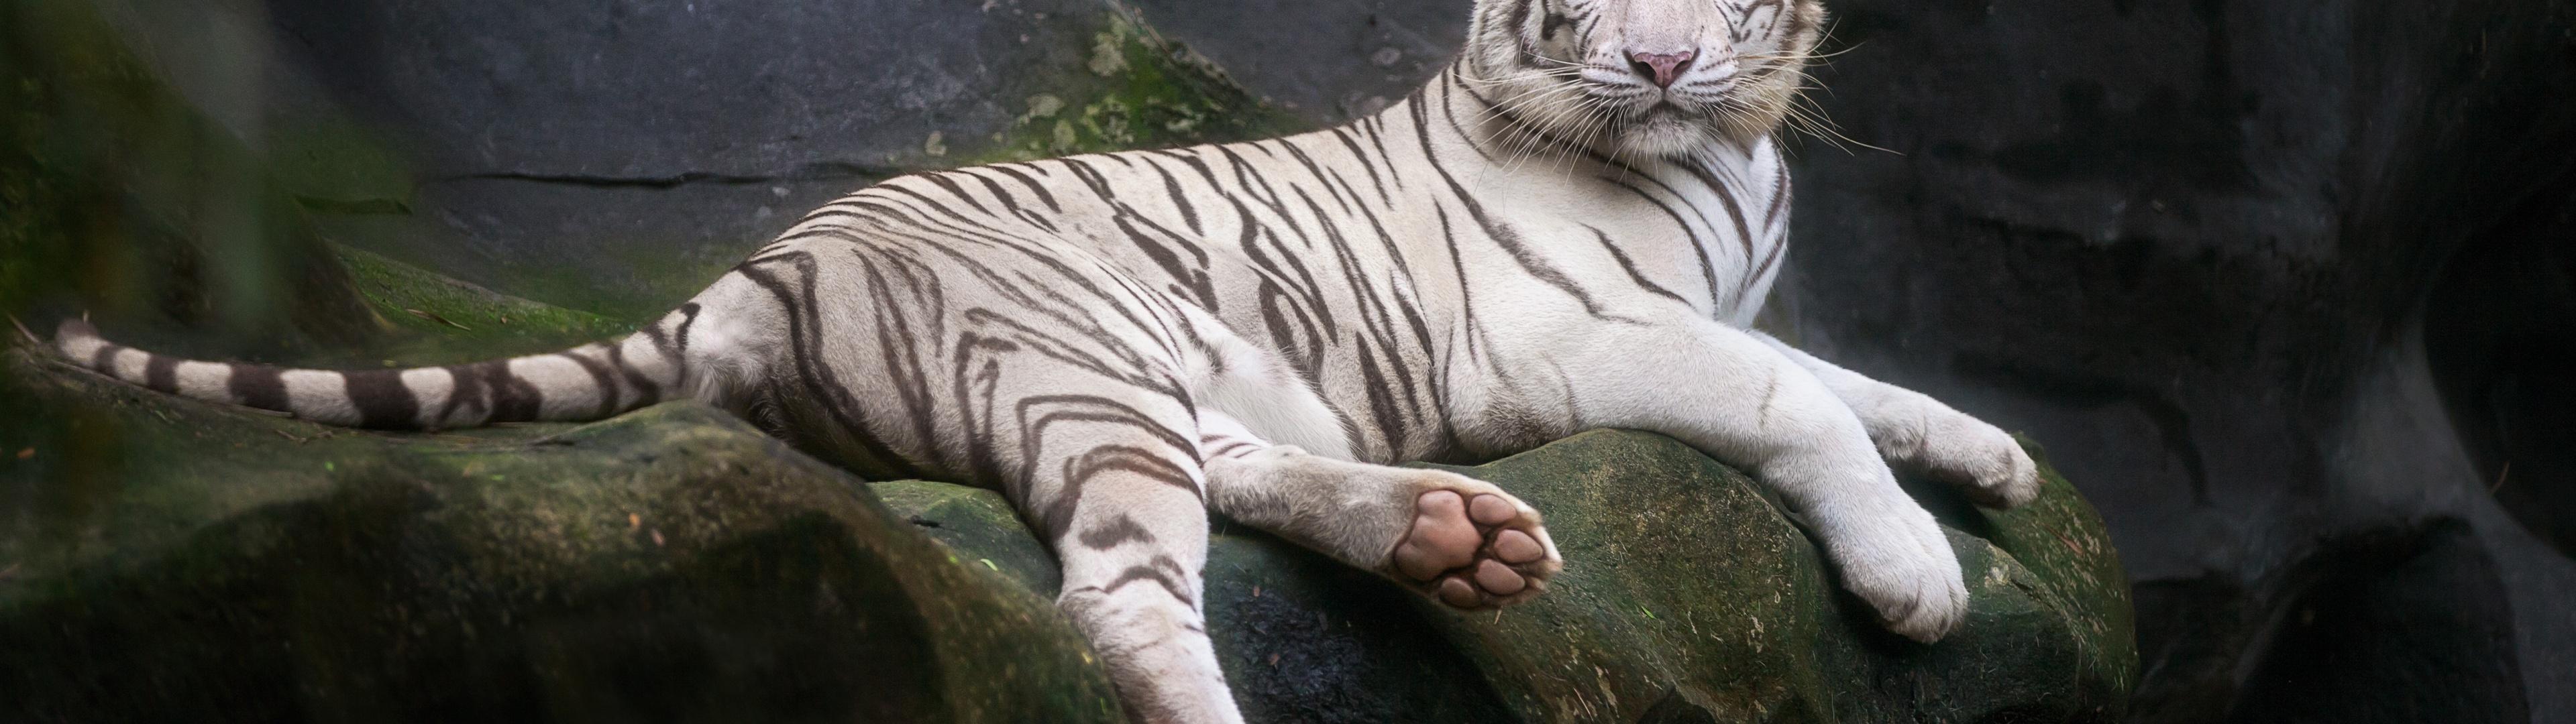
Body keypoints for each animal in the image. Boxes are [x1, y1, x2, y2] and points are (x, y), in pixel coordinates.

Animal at [46, 0, 2044, 720]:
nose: (1659, 61)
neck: (1732, 150)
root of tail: (752, 269)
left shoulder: (1721, 307)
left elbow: (1862, 384)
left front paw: (1995, 458)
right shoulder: (1572, 338)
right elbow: (1798, 400)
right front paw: (1919, 578)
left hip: (1146, 375)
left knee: (1214, 494)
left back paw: (1454, 541)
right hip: (1080, 349)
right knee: (1117, 603)